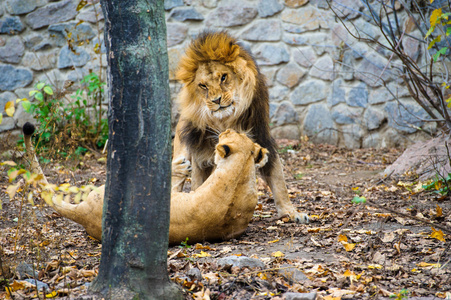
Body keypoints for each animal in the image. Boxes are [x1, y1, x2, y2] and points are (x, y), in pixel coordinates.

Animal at [22, 123, 268, 245]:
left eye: (227, 133)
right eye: (235, 133)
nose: (226, 128)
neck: (238, 175)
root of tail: (84, 213)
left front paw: (181, 166)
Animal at [174, 31, 310, 223]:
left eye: (223, 77)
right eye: (203, 85)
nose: (216, 100)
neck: (227, 119)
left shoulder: (262, 135)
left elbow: (278, 179)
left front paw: (291, 212)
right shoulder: (199, 147)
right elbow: (201, 182)